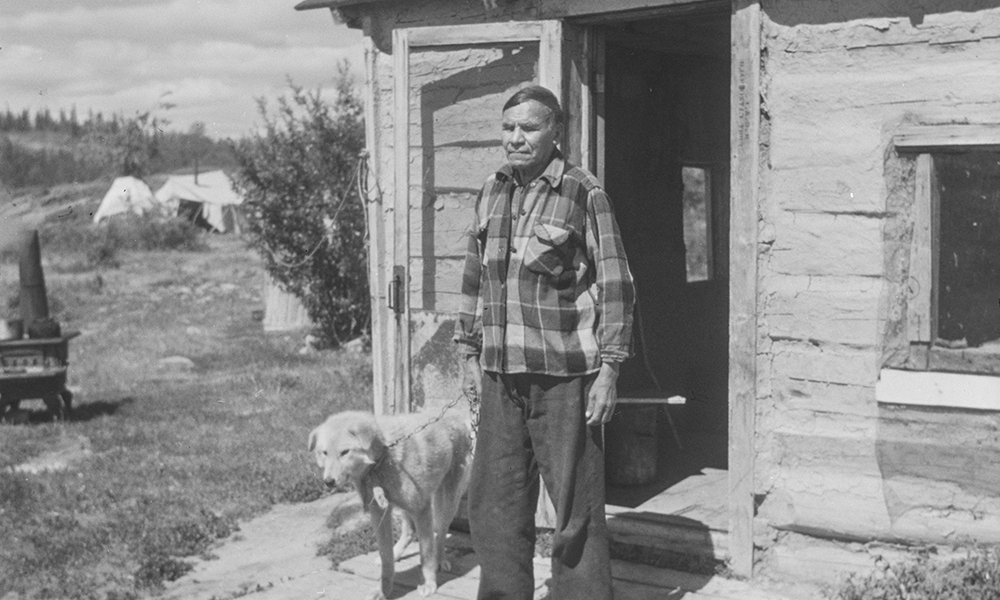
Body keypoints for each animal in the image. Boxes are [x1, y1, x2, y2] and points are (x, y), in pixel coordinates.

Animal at [309, 406, 472, 599]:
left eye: (345, 452)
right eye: (324, 453)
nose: (328, 482)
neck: (383, 458)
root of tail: (457, 415)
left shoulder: (422, 509)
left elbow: (426, 554)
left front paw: (430, 583)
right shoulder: (380, 514)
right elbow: (386, 558)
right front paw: (383, 589)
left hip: (447, 502)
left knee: (440, 533)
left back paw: (440, 559)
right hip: (405, 506)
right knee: (409, 532)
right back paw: (398, 552)